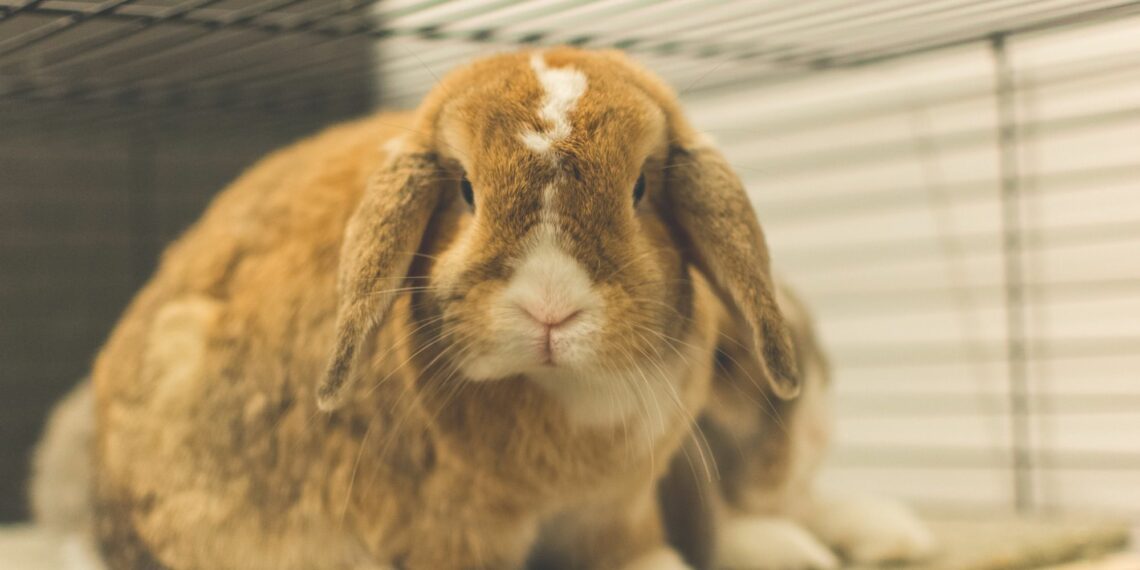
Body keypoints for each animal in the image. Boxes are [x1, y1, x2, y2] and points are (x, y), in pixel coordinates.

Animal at [660, 284, 937, 570]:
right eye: (723, 359)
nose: (818, 431)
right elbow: (723, 532)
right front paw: (801, 554)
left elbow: (815, 507)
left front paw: (898, 532)